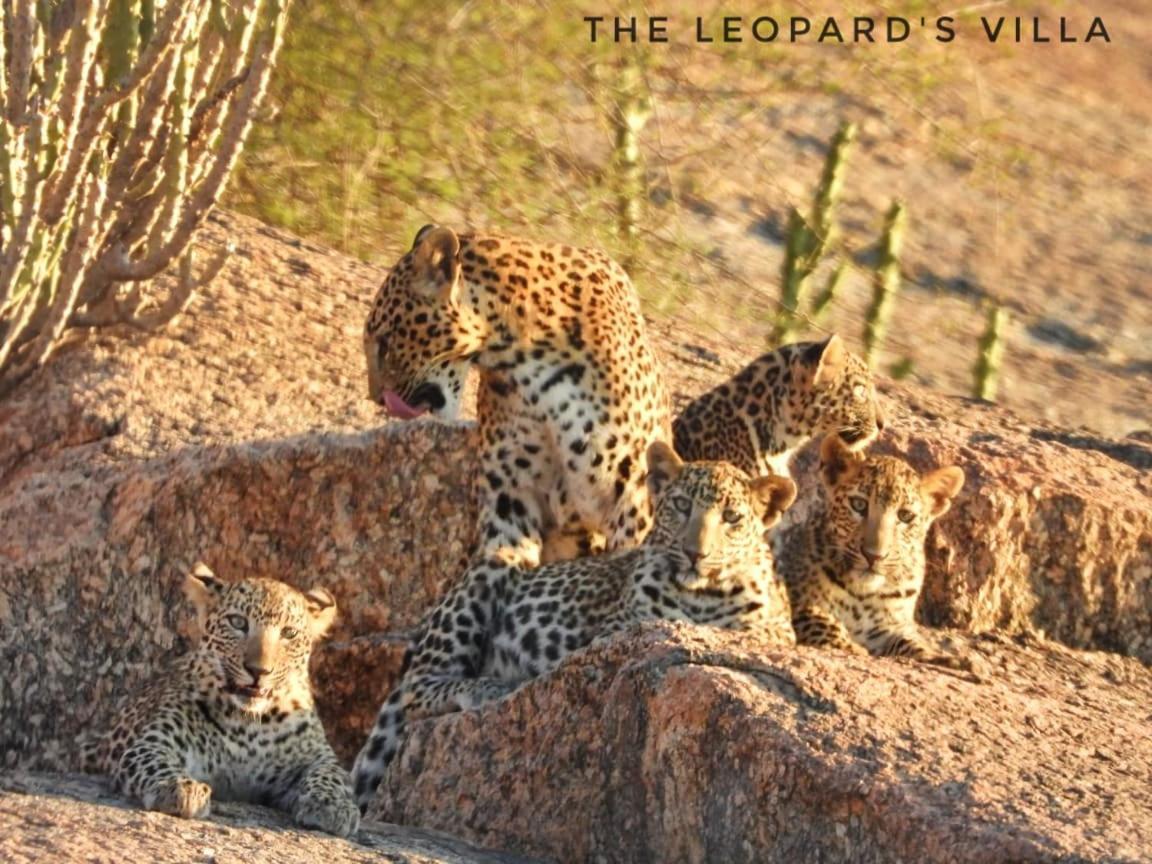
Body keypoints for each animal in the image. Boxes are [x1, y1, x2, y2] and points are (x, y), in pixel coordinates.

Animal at [81, 564, 357, 834]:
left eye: (289, 633)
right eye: (237, 622)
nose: (258, 671)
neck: (250, 726)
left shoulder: (316, 757)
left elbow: (332, 774)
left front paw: (332, 805)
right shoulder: (151, 742)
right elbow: (155, 761)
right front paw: (180, 787)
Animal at [350, 442, 801, 815]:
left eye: (732, 518)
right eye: (681, 505)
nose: (696, 553)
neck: (702, 593)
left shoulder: (774, 633)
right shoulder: (617, 632)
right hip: (492, 569)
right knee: (416, 689)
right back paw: (486, 687)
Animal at [778, 433, 967, 668]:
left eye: (905, 516)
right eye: (858, 504)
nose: (873, 556)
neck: (862, 595)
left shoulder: (886, 628)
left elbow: (909, 641)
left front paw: (941, 657)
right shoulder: (795, 600)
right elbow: (820, 621)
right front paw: (850, 647)